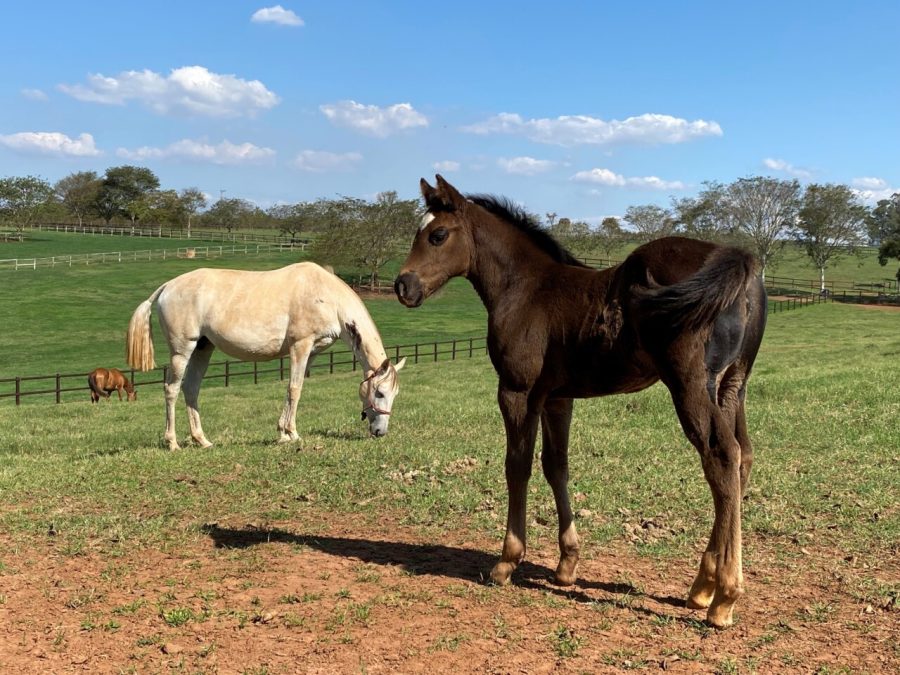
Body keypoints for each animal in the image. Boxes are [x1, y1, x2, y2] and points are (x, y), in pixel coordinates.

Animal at [125, 262, 406, 452]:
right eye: (379, 393)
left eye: (393, 395)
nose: (380, 431)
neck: (327, 297)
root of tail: (167, 287)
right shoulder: (300, 346)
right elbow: (295, 389)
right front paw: (291, 434)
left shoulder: (311, 352)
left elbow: (294, 388)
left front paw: (282, 432)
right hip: (182, 350)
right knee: (171, 389)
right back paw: (172, 443)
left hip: (203, 348)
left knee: (191, 389)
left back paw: (202, 440)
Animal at [396, 176, 768, 628]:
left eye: (437, 235)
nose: (403, 286)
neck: (525, 288)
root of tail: (737, 262)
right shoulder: (557, 398)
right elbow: (556, 466)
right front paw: (567, 564)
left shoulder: (516, 391)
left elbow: (517, 467)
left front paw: (507, 561)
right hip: (732, 387)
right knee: (742, 457)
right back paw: (702, 586)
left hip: (692, 386)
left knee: (720, 456)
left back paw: (724, 598)